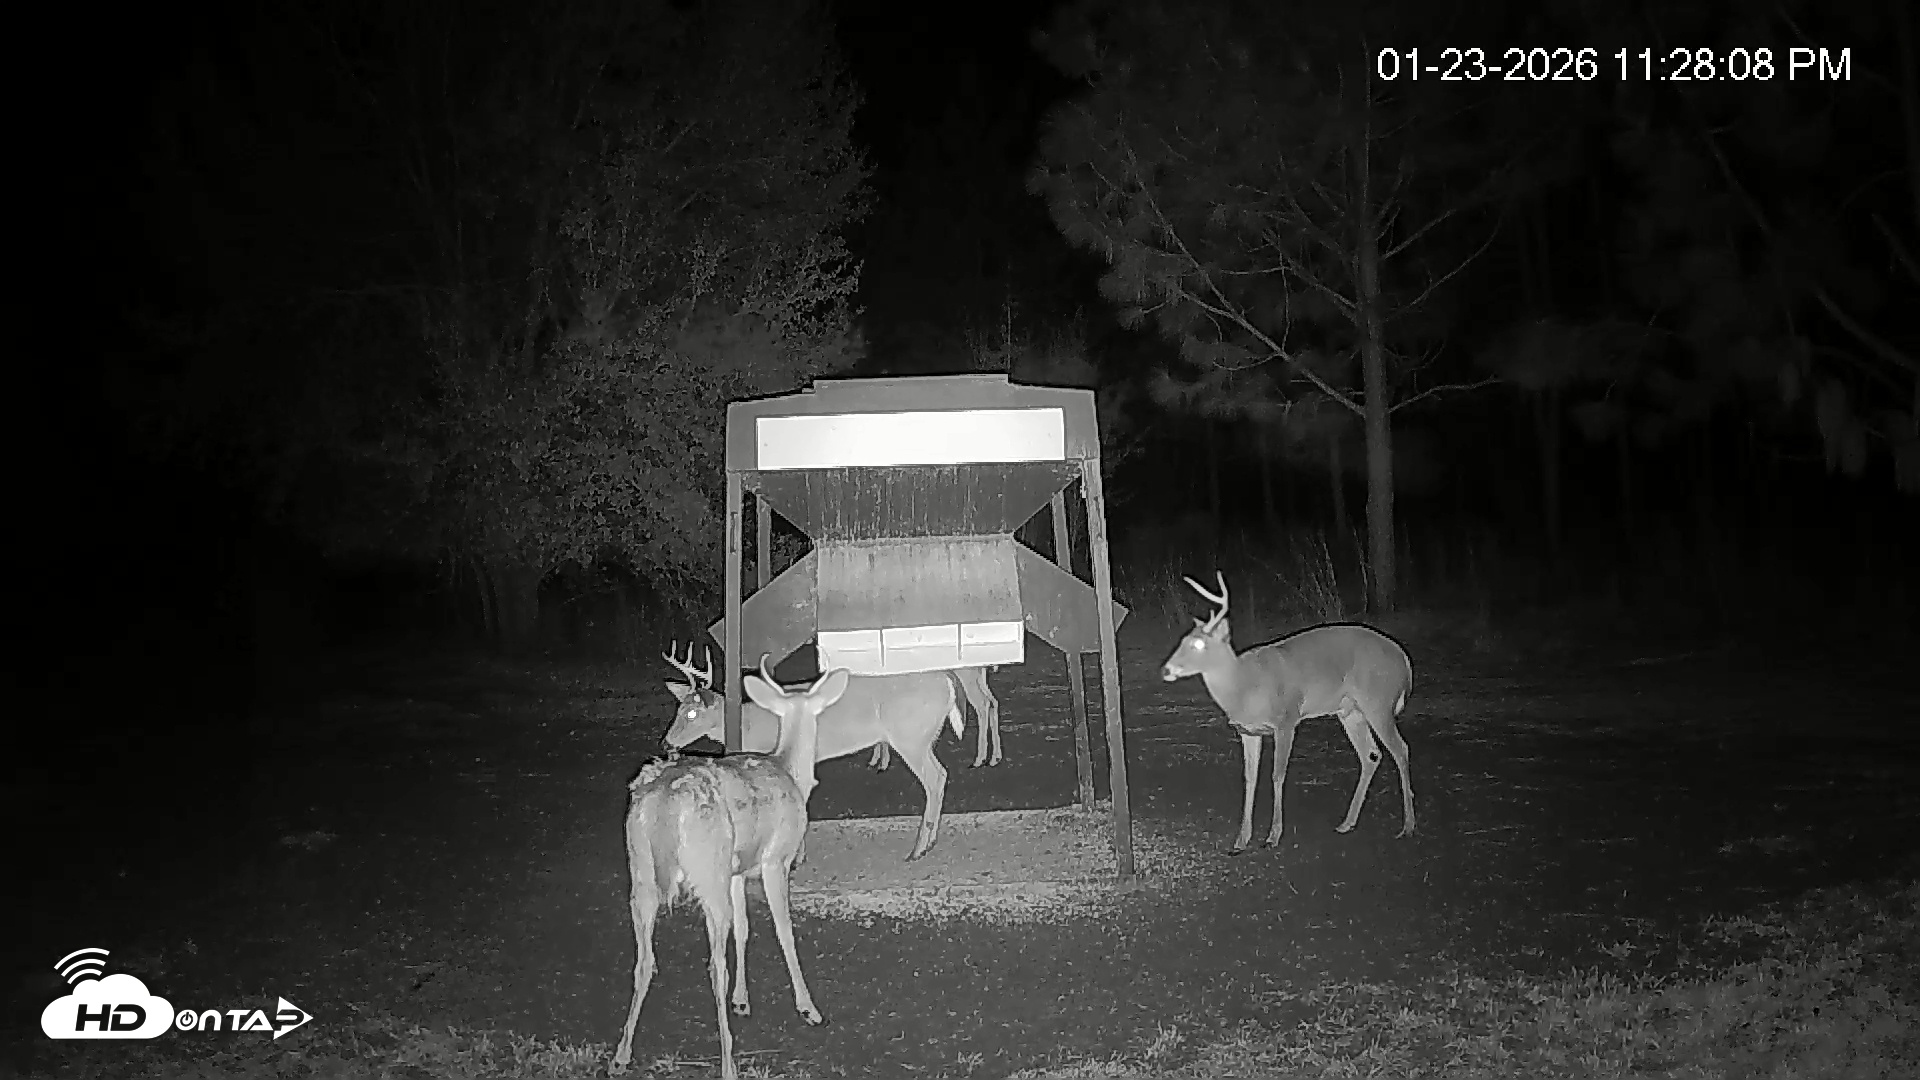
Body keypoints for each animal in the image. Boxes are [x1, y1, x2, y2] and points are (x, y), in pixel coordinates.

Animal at [610, 659, 848, 1080]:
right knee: (713, 965)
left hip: (643, 870)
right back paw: (728, 1062)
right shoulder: (774, 860)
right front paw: (808, 1007)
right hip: (708, 868)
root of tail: (665, 805)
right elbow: (783, 930)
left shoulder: (736, 869)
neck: (789, 769)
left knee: (644, 960)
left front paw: (742, 1000)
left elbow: (745, 928)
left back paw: (622, 1055)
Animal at [660, 644, 965, 860]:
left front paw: (796, 857)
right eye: (678, 708)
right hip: (922, 738)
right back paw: (929, 843)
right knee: (940, 775)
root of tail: (947, 679)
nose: (665, 743)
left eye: (692, 714)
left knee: (935, 778)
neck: (747, 724)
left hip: (910, 737)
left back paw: (918, 850)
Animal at [1160, 572, 1416, 855]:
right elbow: (1250, 778)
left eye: (1198, 644)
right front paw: (1240, 841)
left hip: (1378, 702)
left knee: (1401, 749)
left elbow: (1277, 774)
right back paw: (1346, 823)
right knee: (1371, 755)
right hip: (1350, 711)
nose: (1167, 669)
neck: (1245, 685)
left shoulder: (1286, 720)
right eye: (1183, 641)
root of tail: (1404, 661)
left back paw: (1407, 827)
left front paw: (1273, 836)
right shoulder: (1247, 731)